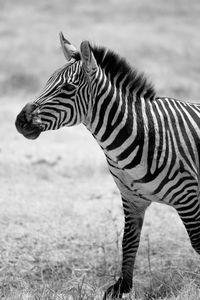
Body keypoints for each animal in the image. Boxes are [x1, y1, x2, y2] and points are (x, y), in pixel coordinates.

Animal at [14, 32, 200, 298]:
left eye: (68, 88)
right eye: (47, 82)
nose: (20, 121)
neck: (139, 133)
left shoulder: (188, 196)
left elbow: (197, 241)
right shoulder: (131, 198)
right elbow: (129, 241)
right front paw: (122, 287)